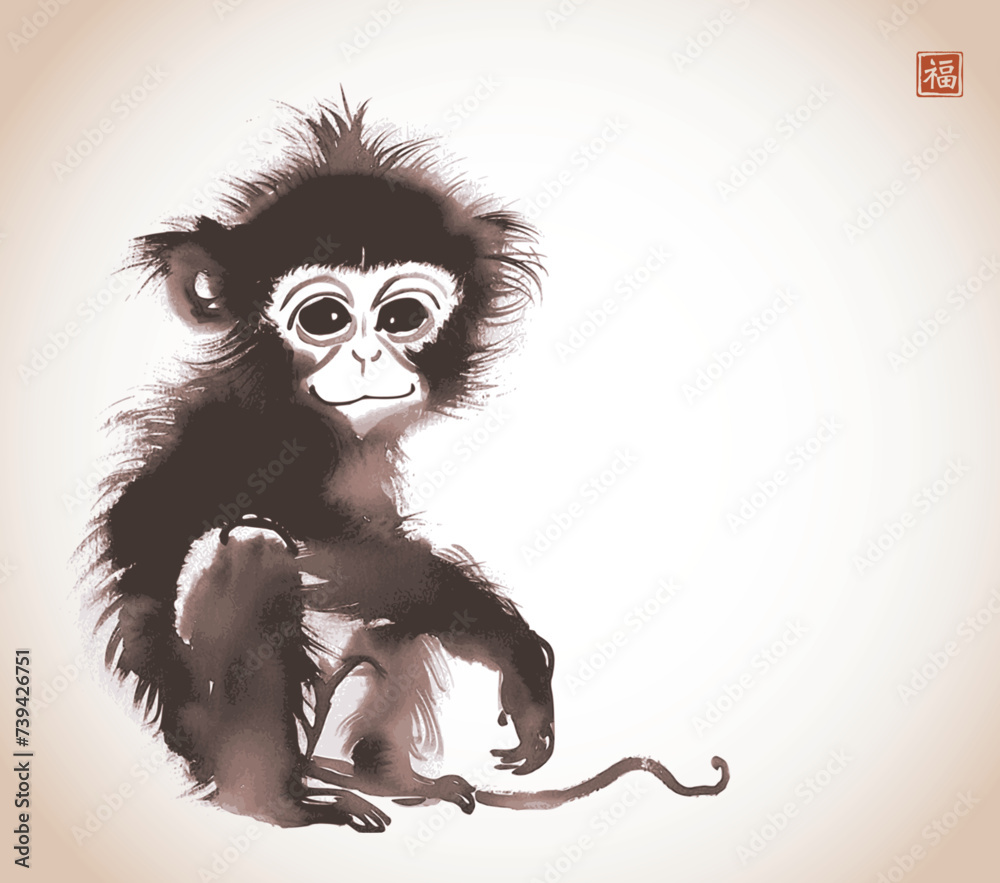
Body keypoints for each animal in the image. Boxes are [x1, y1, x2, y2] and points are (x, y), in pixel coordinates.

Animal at [83, 95, 728, 832]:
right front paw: (512, 646)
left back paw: (391, 775)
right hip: (215, 727)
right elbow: (323, 538)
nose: (367, 356)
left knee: (390, 620)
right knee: (258, 546)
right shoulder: (264, 437)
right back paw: (274, 803)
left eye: (402, 316)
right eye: (324, 317)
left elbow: (383, 555)